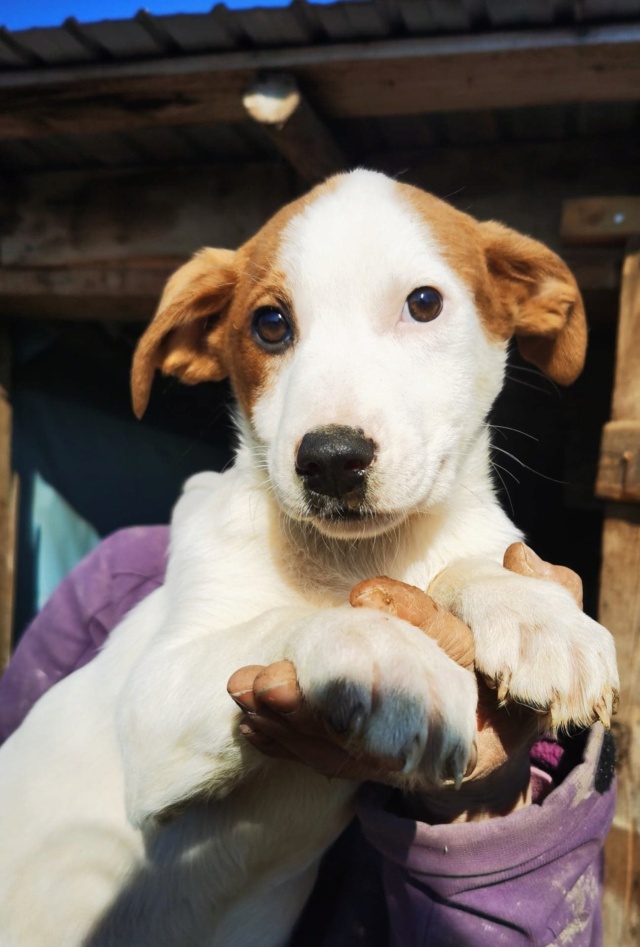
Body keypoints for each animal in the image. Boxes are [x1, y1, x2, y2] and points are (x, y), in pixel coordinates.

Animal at [0, 172, 616, 947]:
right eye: (270, 324)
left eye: (424, 303)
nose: (330, 460)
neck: (359, 557)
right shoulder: (150, 705)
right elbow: (285, 618)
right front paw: (390, 658)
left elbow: (464, 565)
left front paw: (536, 614)